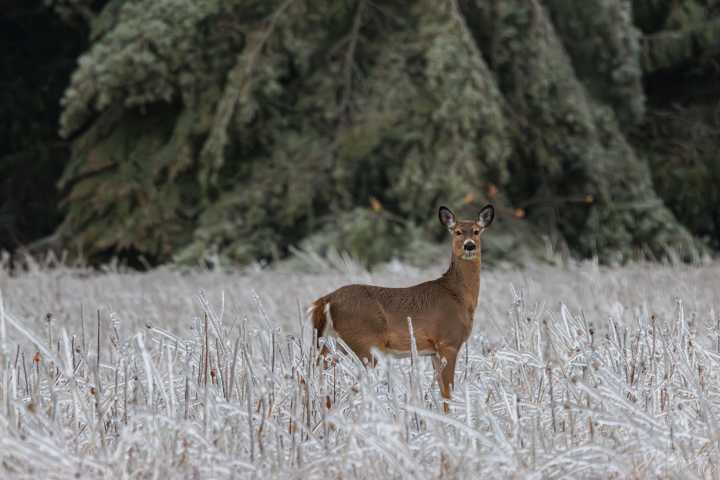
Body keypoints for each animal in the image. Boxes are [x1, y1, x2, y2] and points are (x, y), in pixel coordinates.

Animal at [308, 204, 494, 412]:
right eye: (458, 231)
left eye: (477, 231)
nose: (469, 245)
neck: (459, 296)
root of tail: (326, 299)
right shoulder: (448, 342)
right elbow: (448, 392)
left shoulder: (434, 350)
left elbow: (441, 389)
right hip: (365, 344)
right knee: (355, 385)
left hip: (335, 342)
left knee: (320, 370)